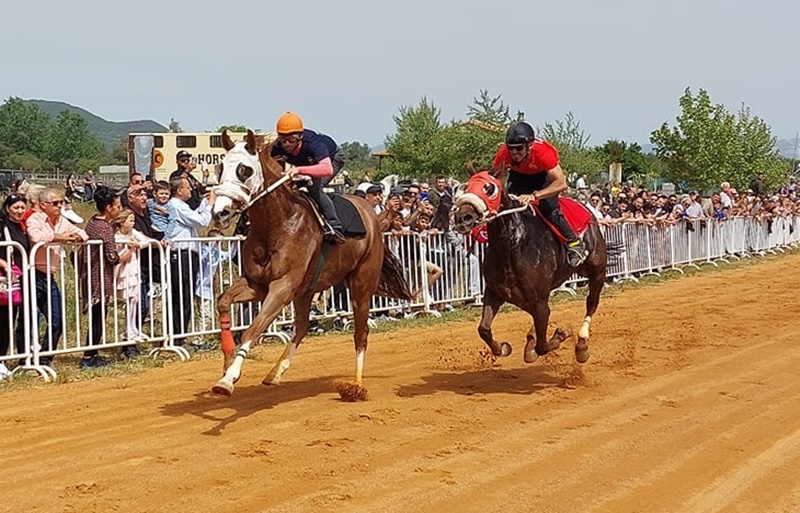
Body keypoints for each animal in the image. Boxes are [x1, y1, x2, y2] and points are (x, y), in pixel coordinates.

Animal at [209, 129, 412, 400]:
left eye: (245, 170)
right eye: (220, 168)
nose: (220, 212)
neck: (277, 224)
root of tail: (372, 216)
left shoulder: (282, 287)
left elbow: (253, 329)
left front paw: (229, 378)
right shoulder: (258, 284)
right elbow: (223, 301)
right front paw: (227, 362)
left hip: (361, 284)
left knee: (360, 334)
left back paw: (356, 386)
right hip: (307, 289)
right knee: (303, 326)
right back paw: (275, 373)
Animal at [454, 171, 608, 364]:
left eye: (489, 189)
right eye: (466, 187)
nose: (462, 218)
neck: (513, 247)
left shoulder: (539, 301)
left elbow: (542, 346)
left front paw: (559, 335)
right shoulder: (496, 291)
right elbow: (484, 329)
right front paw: (503, 347)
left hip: (597, 271)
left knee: (592, 303)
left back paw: (581, 345)